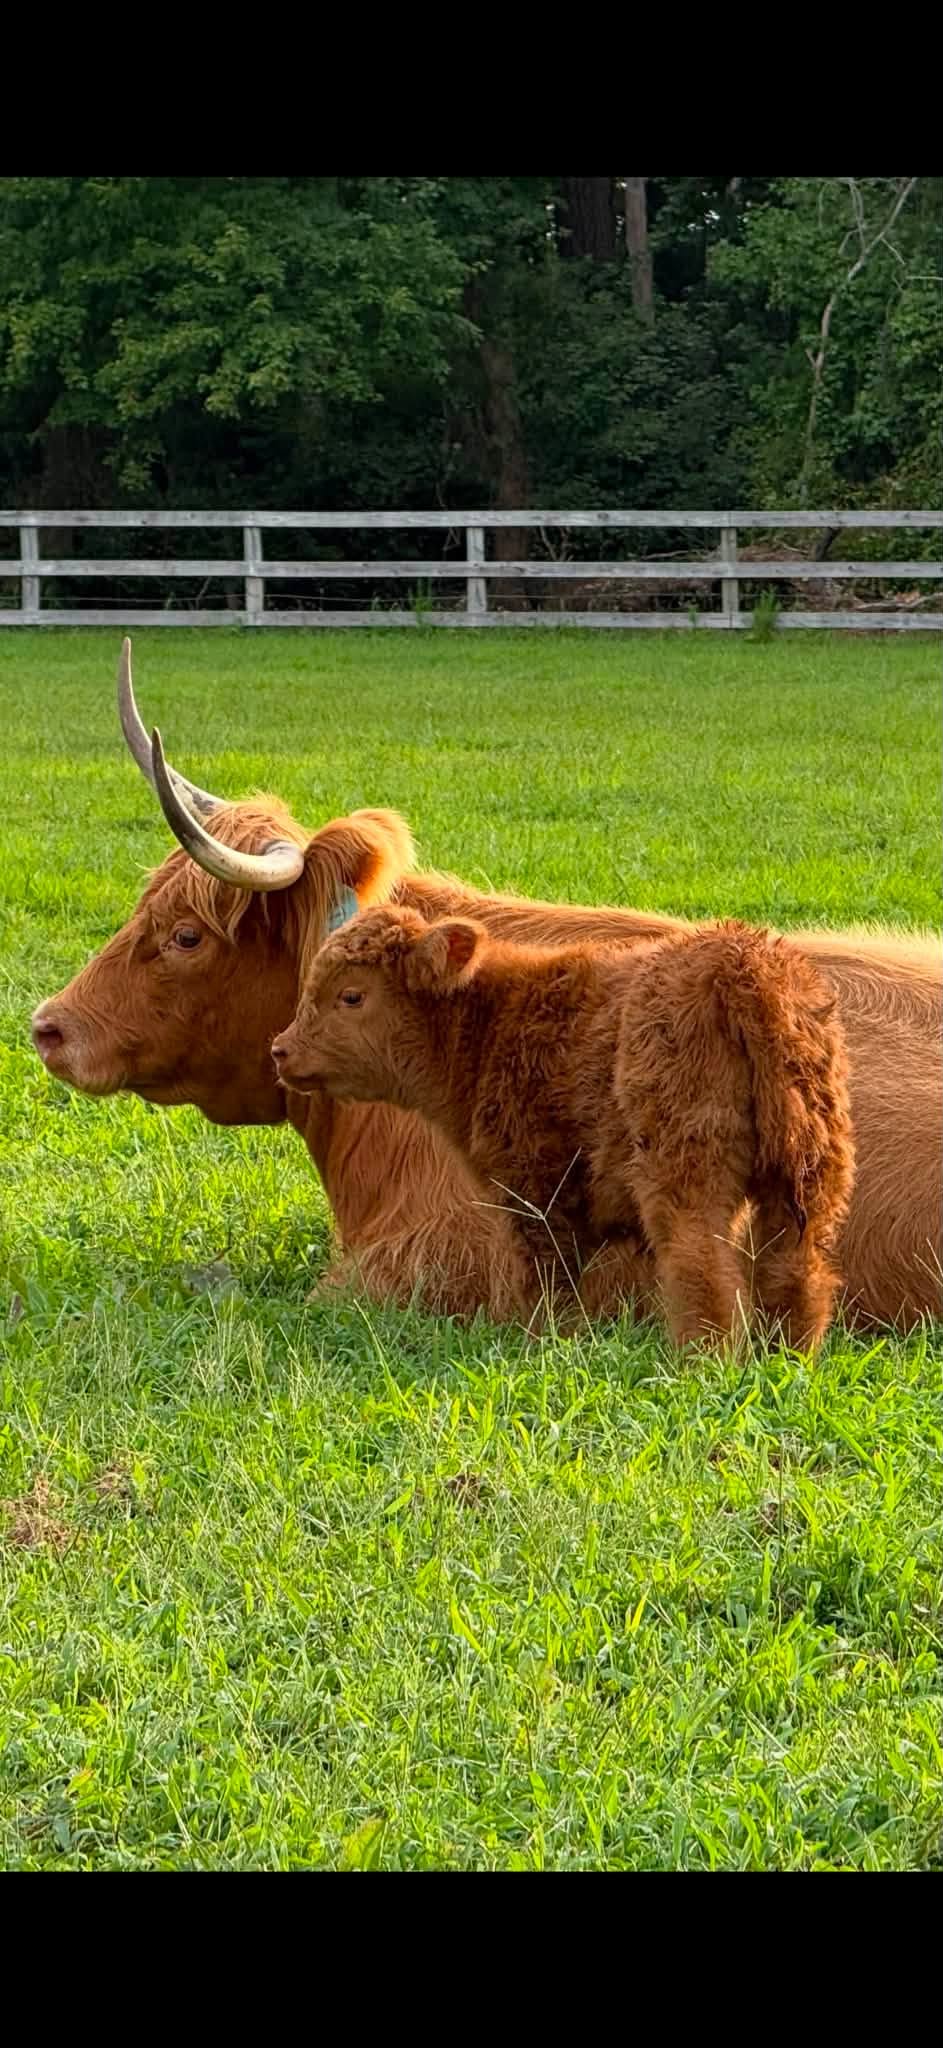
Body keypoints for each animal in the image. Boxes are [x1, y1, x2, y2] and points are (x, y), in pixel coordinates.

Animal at [270, 906, 855, 1350]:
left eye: (351, 996)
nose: (280, 1049)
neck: (489, 1026)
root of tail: (743, 962)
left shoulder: (536, 1190)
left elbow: (546, 1286)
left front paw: (537, 1345)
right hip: (808, 1170)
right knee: (796, 1267)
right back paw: (787, 1356)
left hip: (686, 1167)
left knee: (701, 1263)